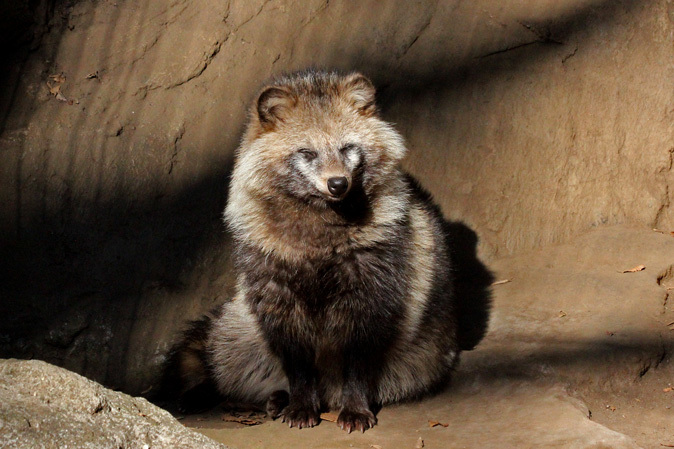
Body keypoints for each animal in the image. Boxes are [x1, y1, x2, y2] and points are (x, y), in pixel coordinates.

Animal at [172, 69, 468, 430]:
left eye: (348, 147)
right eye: (307, 153)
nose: (338, 184)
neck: (322, 218)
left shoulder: (373, 286)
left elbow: (358, 356)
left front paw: (355, 404)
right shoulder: (274, 287)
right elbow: (296, 358)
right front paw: (301, 400)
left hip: (421, 358)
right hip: (239, 329)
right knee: (226, 355)